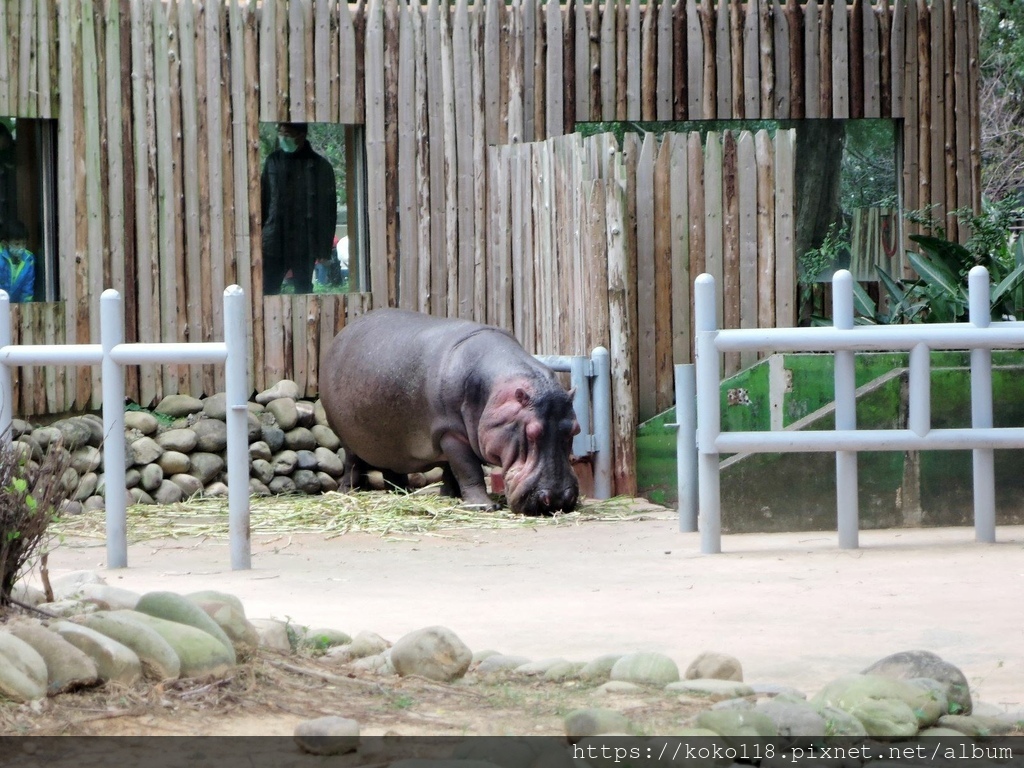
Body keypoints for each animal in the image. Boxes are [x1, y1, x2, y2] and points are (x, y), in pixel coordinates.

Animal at [319, 309, 581, 518]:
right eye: (531, 432)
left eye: (574, 430)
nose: (557, 500)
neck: (496, 392)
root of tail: (341, 333)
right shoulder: (451, 434)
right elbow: (468, 470)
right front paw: (484, 507)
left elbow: (452, 471)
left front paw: (449, 496)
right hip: (346, 436)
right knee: (352, 463)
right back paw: (348, 492)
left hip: (391, 443)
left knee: (392, 469)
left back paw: (403, 493)